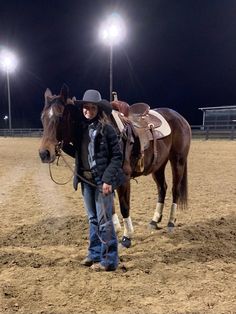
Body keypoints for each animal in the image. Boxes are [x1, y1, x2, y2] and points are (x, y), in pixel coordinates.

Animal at [39, 85, 192, 248]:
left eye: (59, 117)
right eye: (42, 117)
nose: (44, 153)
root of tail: (180, 118)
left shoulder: (123, 179)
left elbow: (124, 206)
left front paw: (127, 236)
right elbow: (108, 205)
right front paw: (114, 229)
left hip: (178, 160)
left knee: (175, 190)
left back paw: (170, 223)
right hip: (158, 166)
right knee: (162, 188)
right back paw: (154, 221)